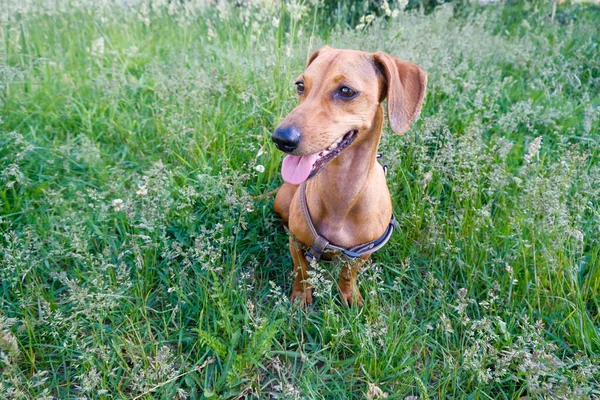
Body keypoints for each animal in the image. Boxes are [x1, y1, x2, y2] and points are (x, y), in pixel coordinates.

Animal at [272, 47, 426, 308]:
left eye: (346, 91)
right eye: (300, 85)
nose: (281, 139)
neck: (341, 193)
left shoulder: (361, 253)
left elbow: (348, 274)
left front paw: (349, 295)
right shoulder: (296, 243)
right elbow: (302, 271)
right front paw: (301, 297)